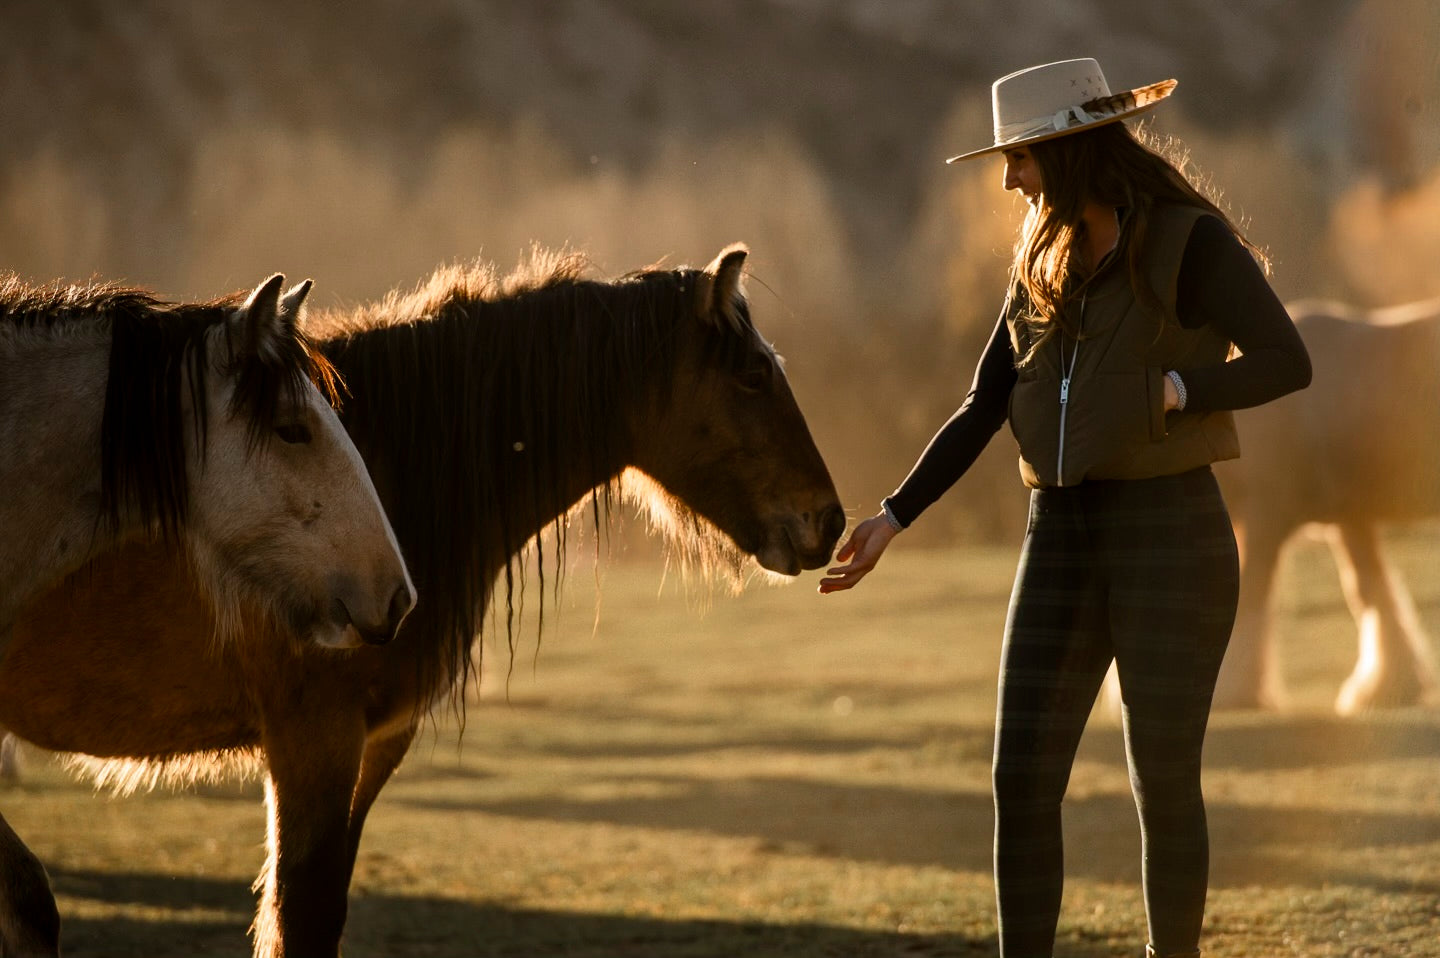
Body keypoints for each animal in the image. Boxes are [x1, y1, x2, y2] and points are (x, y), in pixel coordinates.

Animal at [0, 244, 840, 956]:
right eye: (754, 376)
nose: (829, 521)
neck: (403, 469)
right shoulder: (313, 738)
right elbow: (301, 916)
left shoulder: (378, 740)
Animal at [1215, 296, 1440, 708]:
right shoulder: (1351, 520)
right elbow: (1370, 592)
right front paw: (1390, 686)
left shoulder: (1266, 517)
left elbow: (1252, 594)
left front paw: (1232, 690)